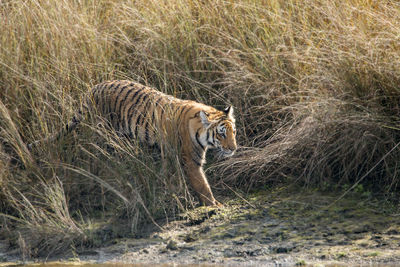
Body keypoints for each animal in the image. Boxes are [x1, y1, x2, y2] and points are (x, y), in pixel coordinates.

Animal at [56, 80, 236, 206]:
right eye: (221, 134)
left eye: (233, 132)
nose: (233, 149)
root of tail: (95, 87)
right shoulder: (191, 160)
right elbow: (202, 185)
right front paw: (214, 204)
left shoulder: (168, 152)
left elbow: (169, 174)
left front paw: (170, 190)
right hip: (103, 133)